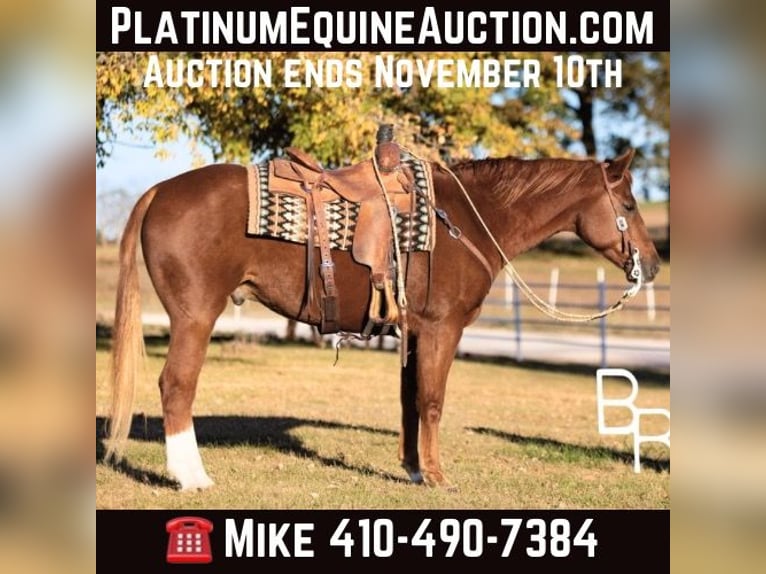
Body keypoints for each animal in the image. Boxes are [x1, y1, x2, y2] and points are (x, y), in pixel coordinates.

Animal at [105, 147, 661, 490]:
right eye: (630, 204)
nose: (652, 265)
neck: (466, 220)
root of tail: (160, 191)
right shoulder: (441, 329)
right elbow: (432, 402)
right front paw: (438, 477)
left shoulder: (412, 333)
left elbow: (410, 400)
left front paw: (413, 471)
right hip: (196, 315)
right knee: (177, 385)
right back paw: (192, 477)